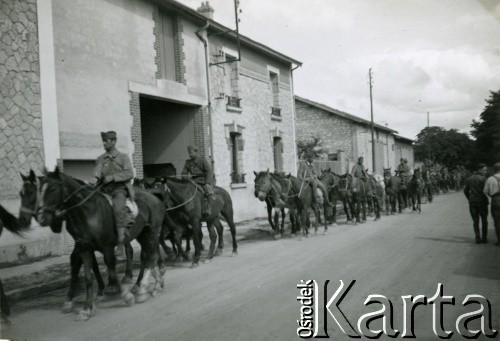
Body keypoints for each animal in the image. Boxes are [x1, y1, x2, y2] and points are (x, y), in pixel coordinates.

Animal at [35, 167, 164, 318]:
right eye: (39, 190)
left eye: (52, 189)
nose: (42, 218)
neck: (88, 212)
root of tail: (154, 197)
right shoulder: (84, 248)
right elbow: (87, 276)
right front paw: (87, 307)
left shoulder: (107, 247)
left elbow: (112, 272)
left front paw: (123, 295)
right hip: (143, 235)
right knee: (146, 256)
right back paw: (143, 285)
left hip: (152, 232)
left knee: (152, 256)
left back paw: (151, 287)